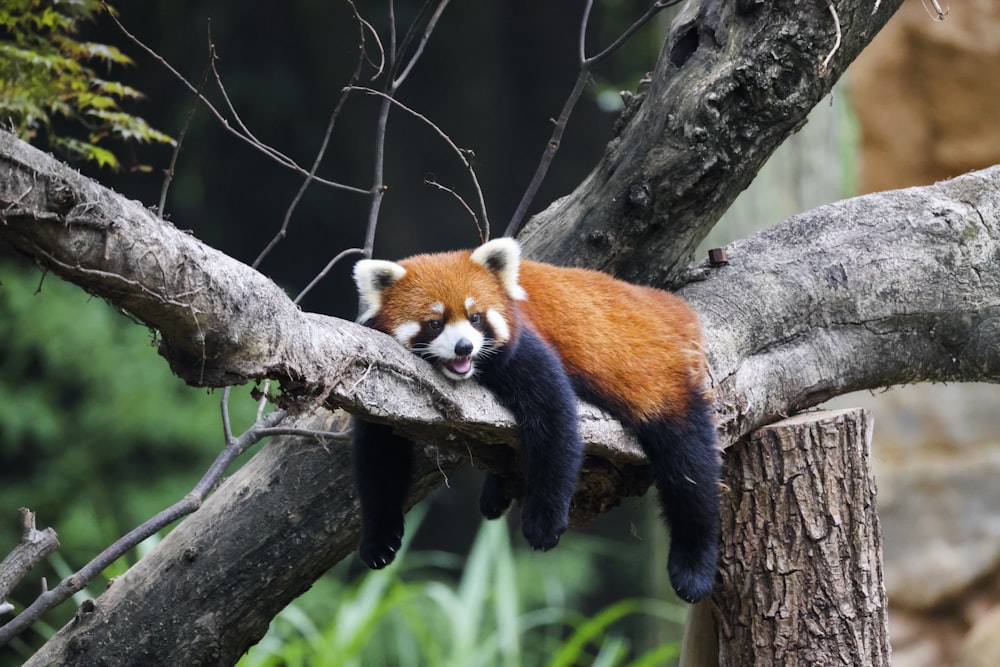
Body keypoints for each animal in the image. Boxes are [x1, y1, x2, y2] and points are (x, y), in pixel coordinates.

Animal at [352, 237, 720, 604]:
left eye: (475, 317)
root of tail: (671, 306)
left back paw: (693, 567)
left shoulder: (524, 348)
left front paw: (543, 525)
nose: (464, 347)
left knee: (690, 470)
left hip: (664, 386)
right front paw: (378, 539)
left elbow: (555, 423)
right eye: (435, 323)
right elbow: (380, 453)